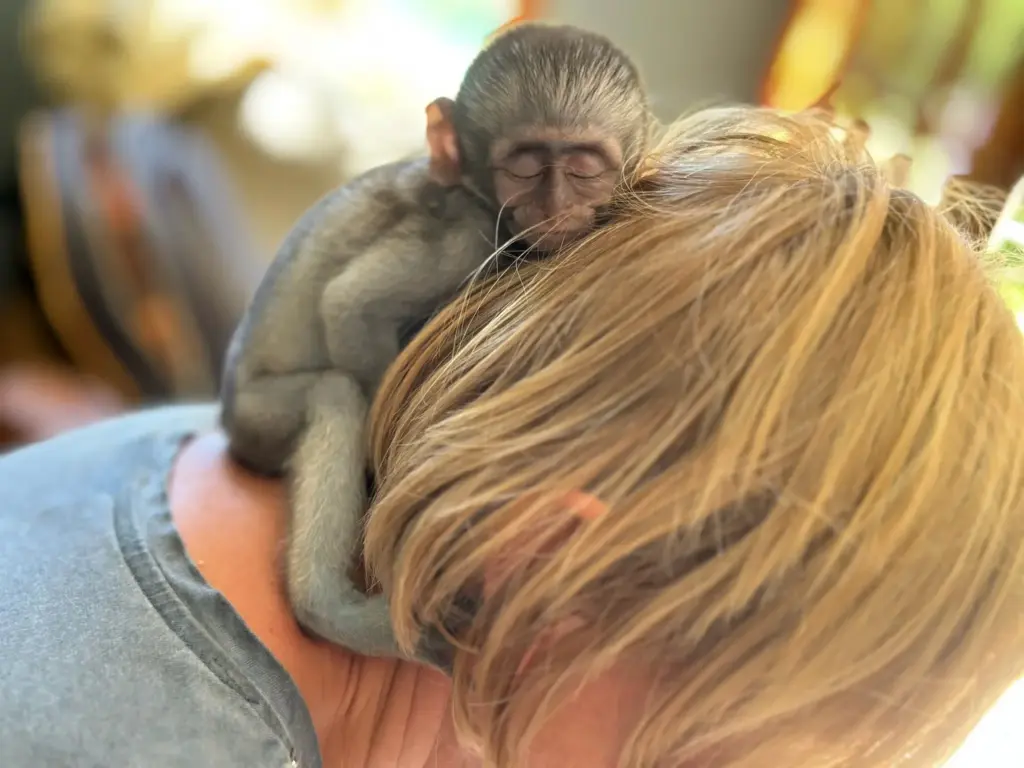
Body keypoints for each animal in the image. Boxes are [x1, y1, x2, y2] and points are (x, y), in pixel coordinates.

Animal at [220, 22, 651, 659]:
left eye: (583, 166)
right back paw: (332, 611)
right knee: (335, 393)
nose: (556, 208)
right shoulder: (465, 237)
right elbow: (348, 305)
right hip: (257, 420)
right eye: (525, 167)